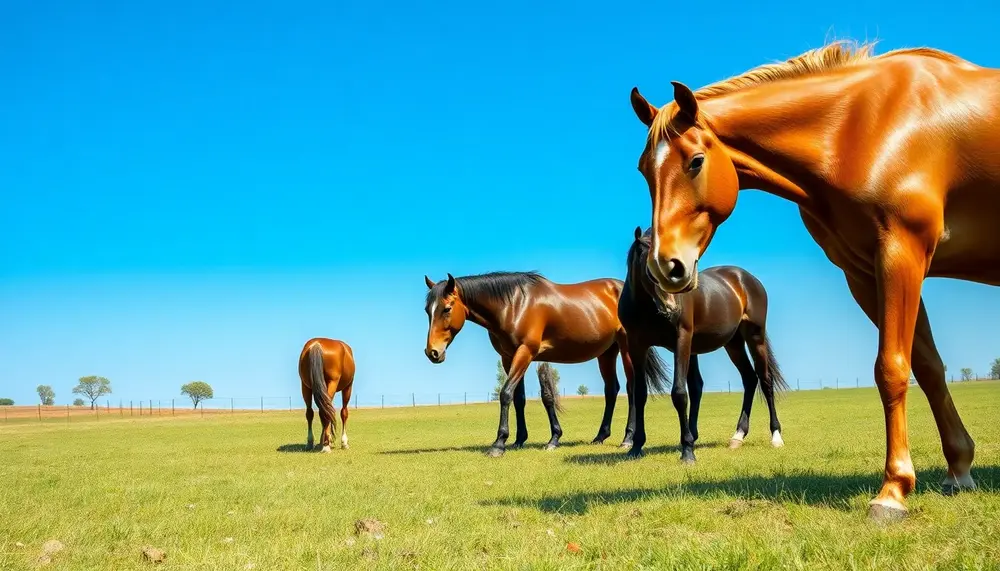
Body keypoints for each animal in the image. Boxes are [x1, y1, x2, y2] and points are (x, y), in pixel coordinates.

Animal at [422, 270, 664, 458]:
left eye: (446, 308)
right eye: (427, 310)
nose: (432, 352)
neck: (514, 305)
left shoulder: (525, 352)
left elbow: (506, 394)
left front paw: (499, 443)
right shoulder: (509, 357)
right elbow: (518, 398)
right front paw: (519, 440)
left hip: (626, 349)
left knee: (632, 389)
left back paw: (628, 438)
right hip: (606, 352)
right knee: (611, 389)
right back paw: (600, 436)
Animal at [616, 226, 788, 462]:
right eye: (651, 267)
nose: (672, 307)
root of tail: (747, 279)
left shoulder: (682, 340)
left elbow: (680, 393)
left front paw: (688, 451)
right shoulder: (637, 346)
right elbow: (640, 394)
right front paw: (636, 446)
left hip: (755, 337)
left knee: (765, 380)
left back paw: (776, 436)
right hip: (733, 344)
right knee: (749, 379)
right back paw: (738, 435)